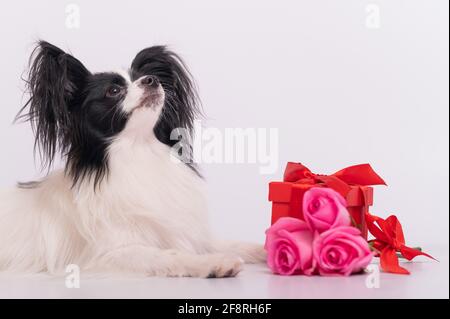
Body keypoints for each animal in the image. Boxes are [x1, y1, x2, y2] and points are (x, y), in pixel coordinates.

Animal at [0, 41, 264, 278]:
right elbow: (169, 255)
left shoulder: (184, 232)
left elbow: (222, 242)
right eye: (113, 91)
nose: (152, 80)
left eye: (146, 77)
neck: (138, 149)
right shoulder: (115, 252)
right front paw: (212, 263)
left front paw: (261, 249)